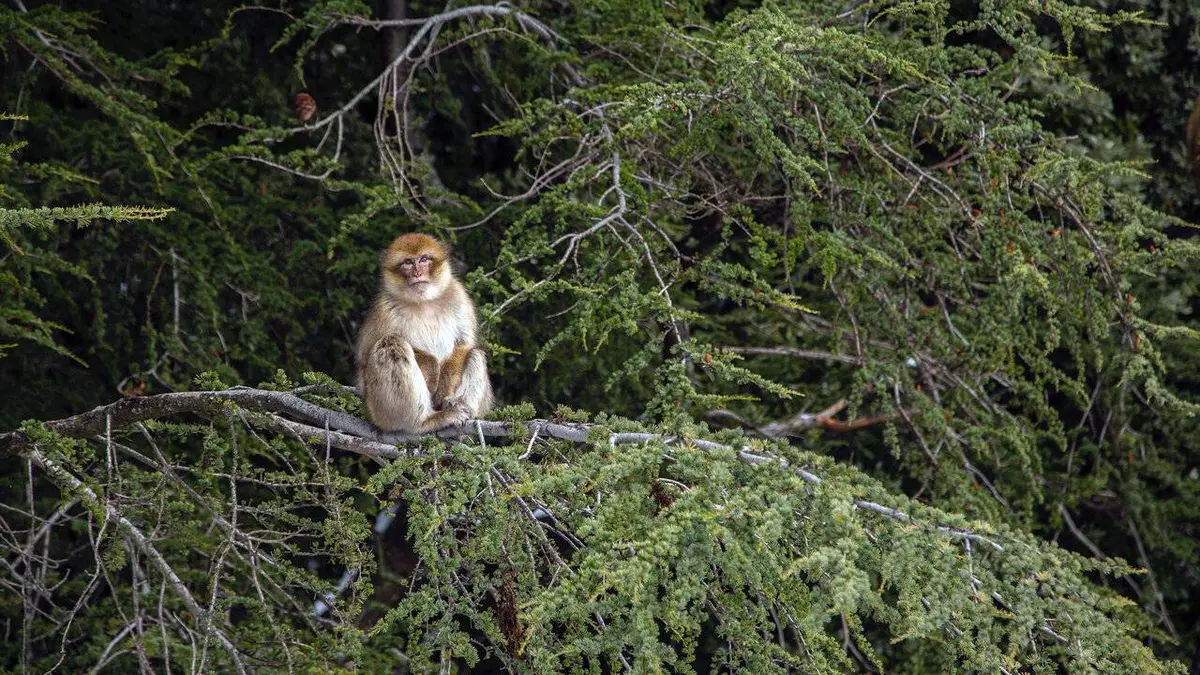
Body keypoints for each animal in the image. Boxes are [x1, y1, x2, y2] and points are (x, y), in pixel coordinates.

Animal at [355, 233, 494, 433]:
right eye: (407, 262)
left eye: (424, 259)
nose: (417, 273)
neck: (424, 303)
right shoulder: (385, 309)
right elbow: (365, 357)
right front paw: (431, 368)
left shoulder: (459, 296)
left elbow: (464, 343)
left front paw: (444, 387)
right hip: (378, 410)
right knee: (391, 343)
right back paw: (423, 421)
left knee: (475, 354)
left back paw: (453, 404)